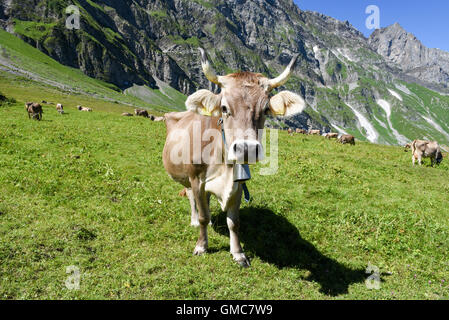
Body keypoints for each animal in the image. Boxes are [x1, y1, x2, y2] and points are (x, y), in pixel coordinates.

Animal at [163, 48, 306, 268]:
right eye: (224, 108)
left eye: (266, 109)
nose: (247, 149)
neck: (224, 165)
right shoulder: (196, 179)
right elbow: (203, 216)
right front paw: (201, 246)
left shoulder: (238, 183)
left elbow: (234, 222)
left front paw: (238, 253)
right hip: (186, 178)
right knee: (191, 197)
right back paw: (194, 220)